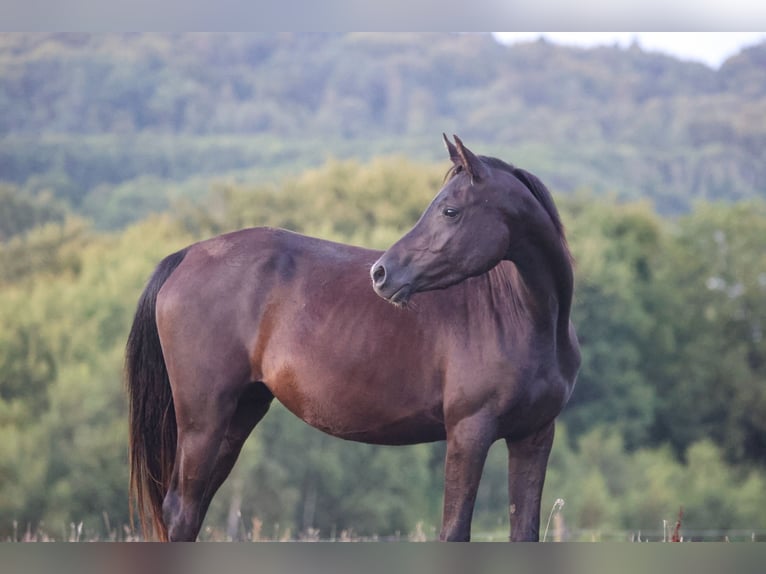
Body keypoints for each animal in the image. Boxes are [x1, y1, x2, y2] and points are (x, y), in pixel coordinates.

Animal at [125, 135, 580, 542]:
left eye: (450, 210)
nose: (382, 274)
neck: (524, 317)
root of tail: (186, 255)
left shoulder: (534, 437)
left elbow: (524, 531)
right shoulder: (469, 433)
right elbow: (454, 532)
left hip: (239, 414)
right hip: (203, 420)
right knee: (181, 511)